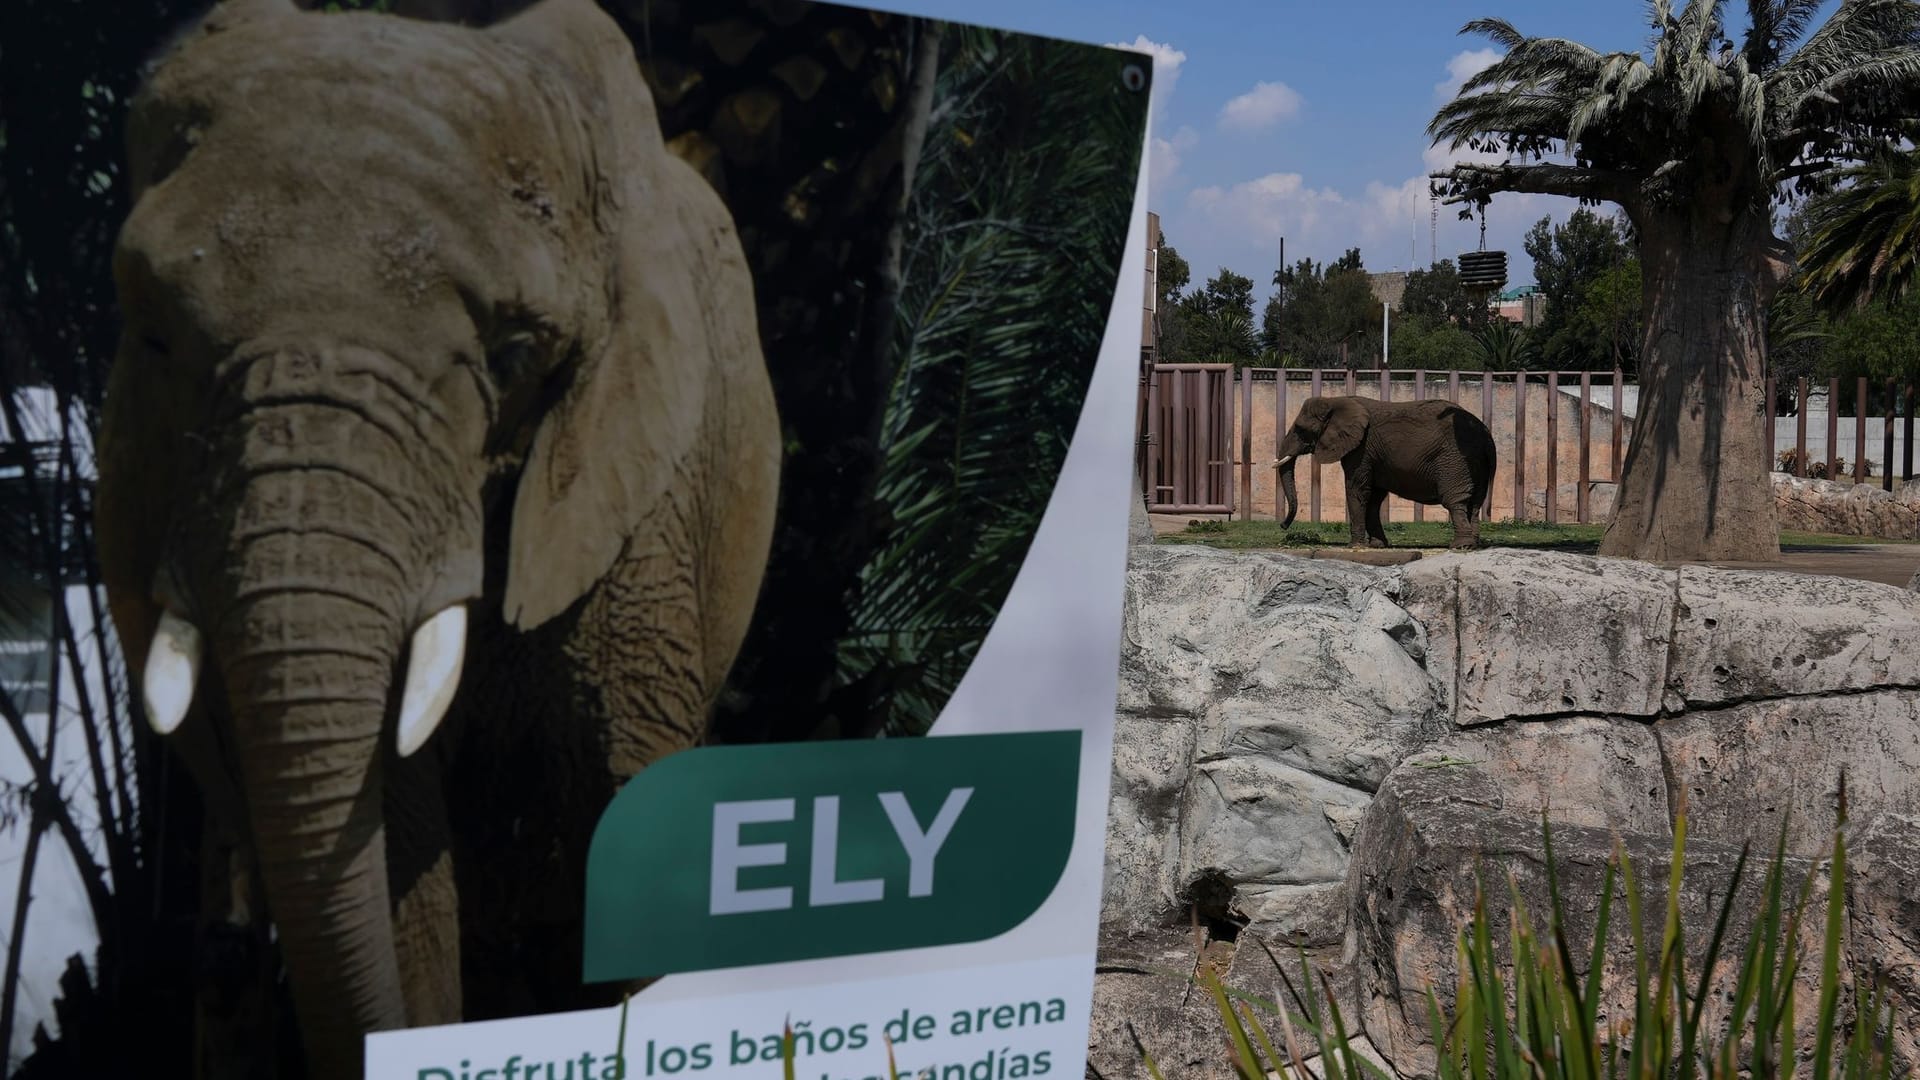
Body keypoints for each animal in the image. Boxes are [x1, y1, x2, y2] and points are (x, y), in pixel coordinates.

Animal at [1274, 393, 1497, 545]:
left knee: (1455, 500)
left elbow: (1357, 490)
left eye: (1300, 430)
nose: (1282, 526)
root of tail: (1485, 434)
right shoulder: (1372, 455)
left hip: (1453, 459)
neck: (1336, 400)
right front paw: (1377, 545)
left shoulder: (1361, 448)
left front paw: (1356, 546)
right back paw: (1472, 545)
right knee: (1475, 503)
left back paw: (1460, 546)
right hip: (1476, 462)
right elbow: (1373, 497)